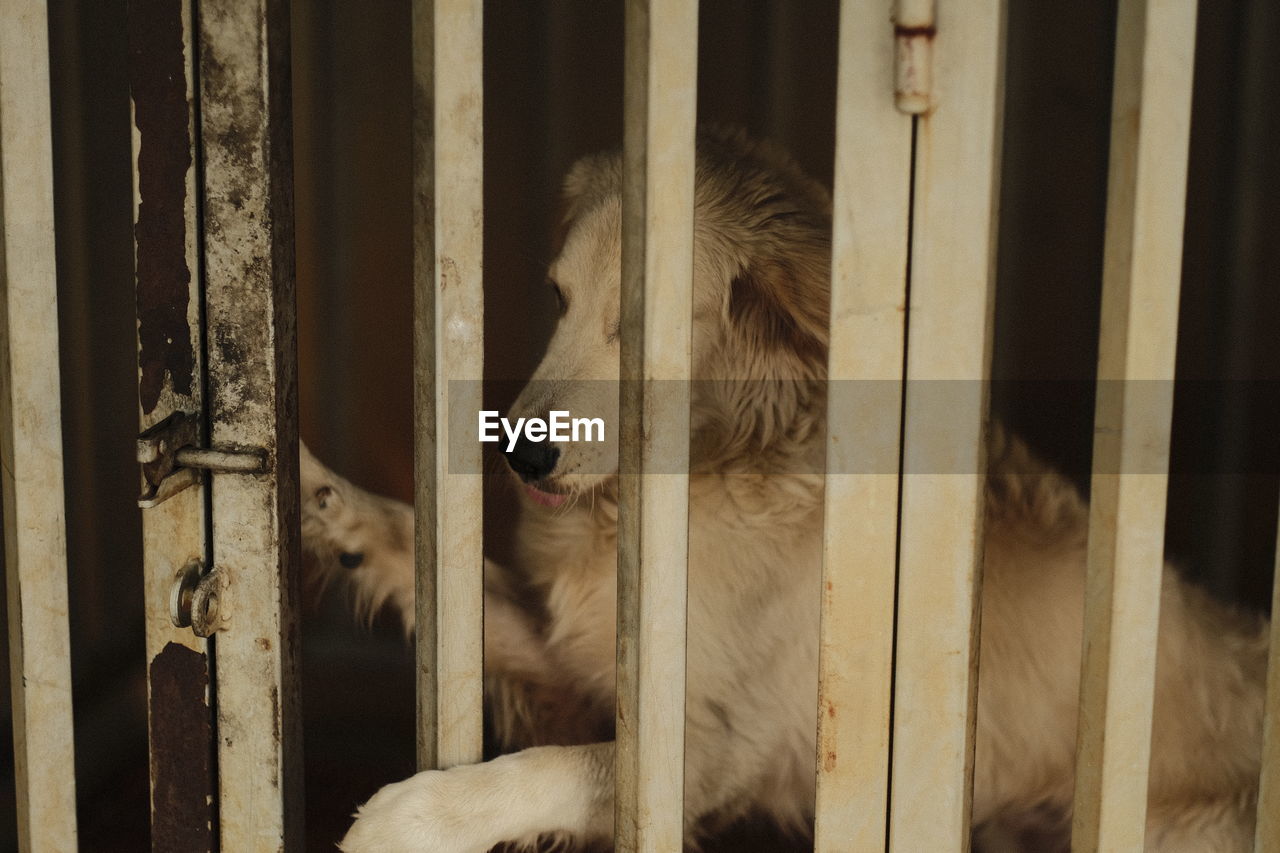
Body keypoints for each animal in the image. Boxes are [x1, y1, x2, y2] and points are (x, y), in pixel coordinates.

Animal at [299, 129, 1269, 845]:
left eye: (642, 330)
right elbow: (419, 549)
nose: (522, 456)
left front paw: (417, 814)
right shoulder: (582, 656)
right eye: (557, 296)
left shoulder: (707, 752)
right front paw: (323, 500)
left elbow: (549, 767)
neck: (717, 467)